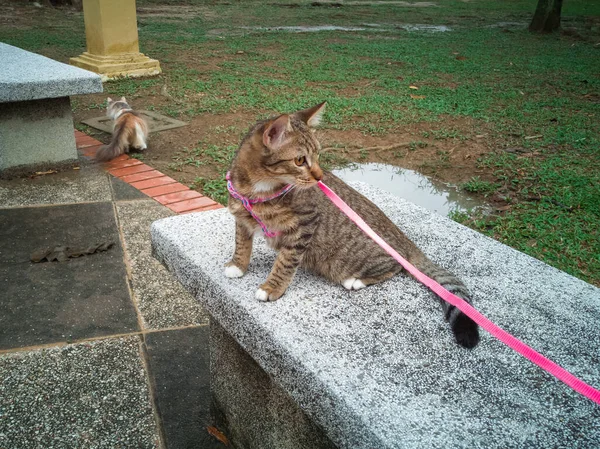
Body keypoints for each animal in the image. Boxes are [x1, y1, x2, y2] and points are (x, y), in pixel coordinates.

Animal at [223, 103, 480, 348]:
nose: (319, 176)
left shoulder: (305, 225)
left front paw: (272, 288)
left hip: (353, 259)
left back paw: (356, 280)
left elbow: (285, 262)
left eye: (318, 155)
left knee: (395, 266)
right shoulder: (241, 217)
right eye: (299, 160)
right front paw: (238, 265)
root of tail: (403, 240)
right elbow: (241, 244)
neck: (259, 191)